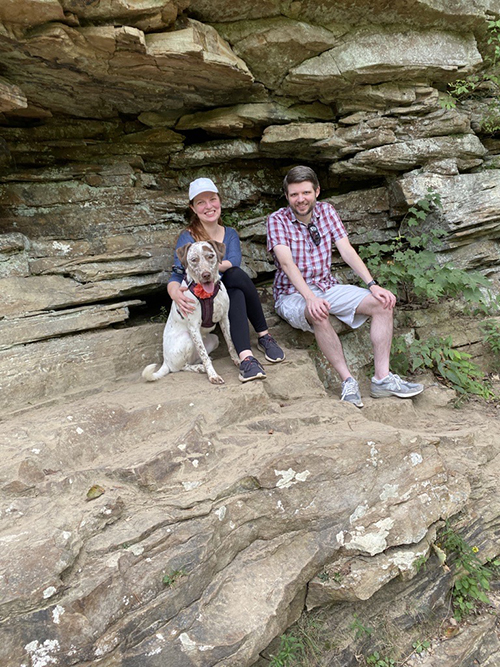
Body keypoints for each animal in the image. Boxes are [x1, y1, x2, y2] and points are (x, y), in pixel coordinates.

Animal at [142, 240, 241, 386]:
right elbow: (203, 354)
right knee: (180, 367)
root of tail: (165, 361)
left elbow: (231, 343)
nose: (206, 275)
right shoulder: (194, 327)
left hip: (214, 339)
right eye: (194, 259)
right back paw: (200, 368)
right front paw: (213, 375)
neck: (208, 295)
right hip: (187, 339)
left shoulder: (224, 319)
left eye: (210, 256)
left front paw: (238, 360)